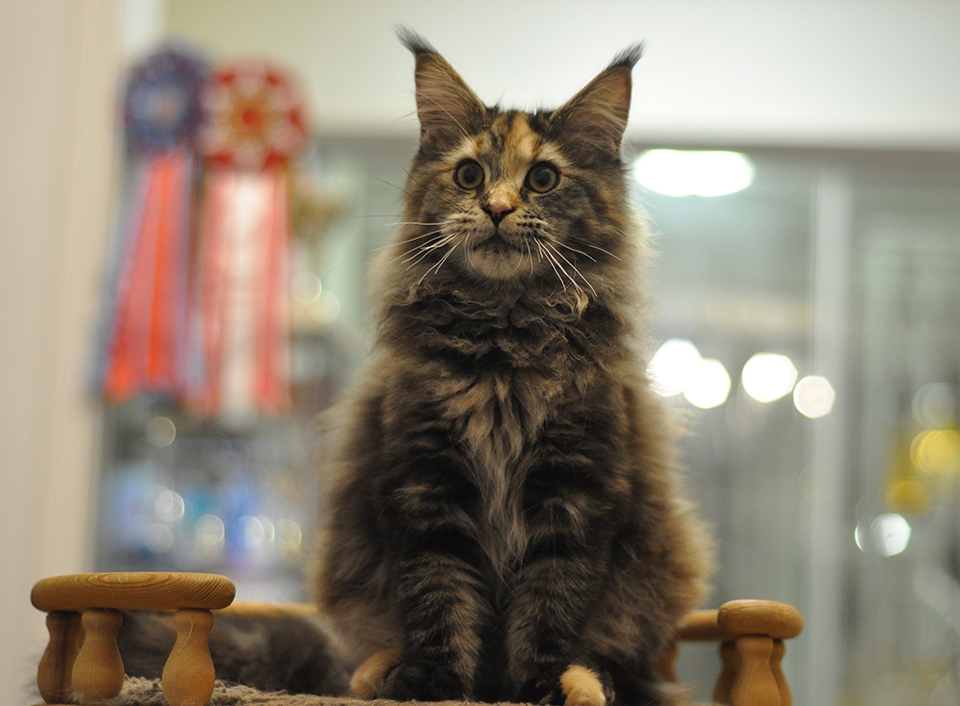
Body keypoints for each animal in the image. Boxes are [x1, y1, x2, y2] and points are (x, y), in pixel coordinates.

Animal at [116, 31, 712, 704]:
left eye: (543, 178)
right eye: (469, 174)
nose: (498, 207)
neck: (503, 351)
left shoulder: (576, 488)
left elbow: (550, 604)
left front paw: (540, 683)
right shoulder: (425, 481)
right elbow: (438, 594)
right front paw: (433, 681)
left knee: (621, 659)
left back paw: (589, 681)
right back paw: (380, 673)